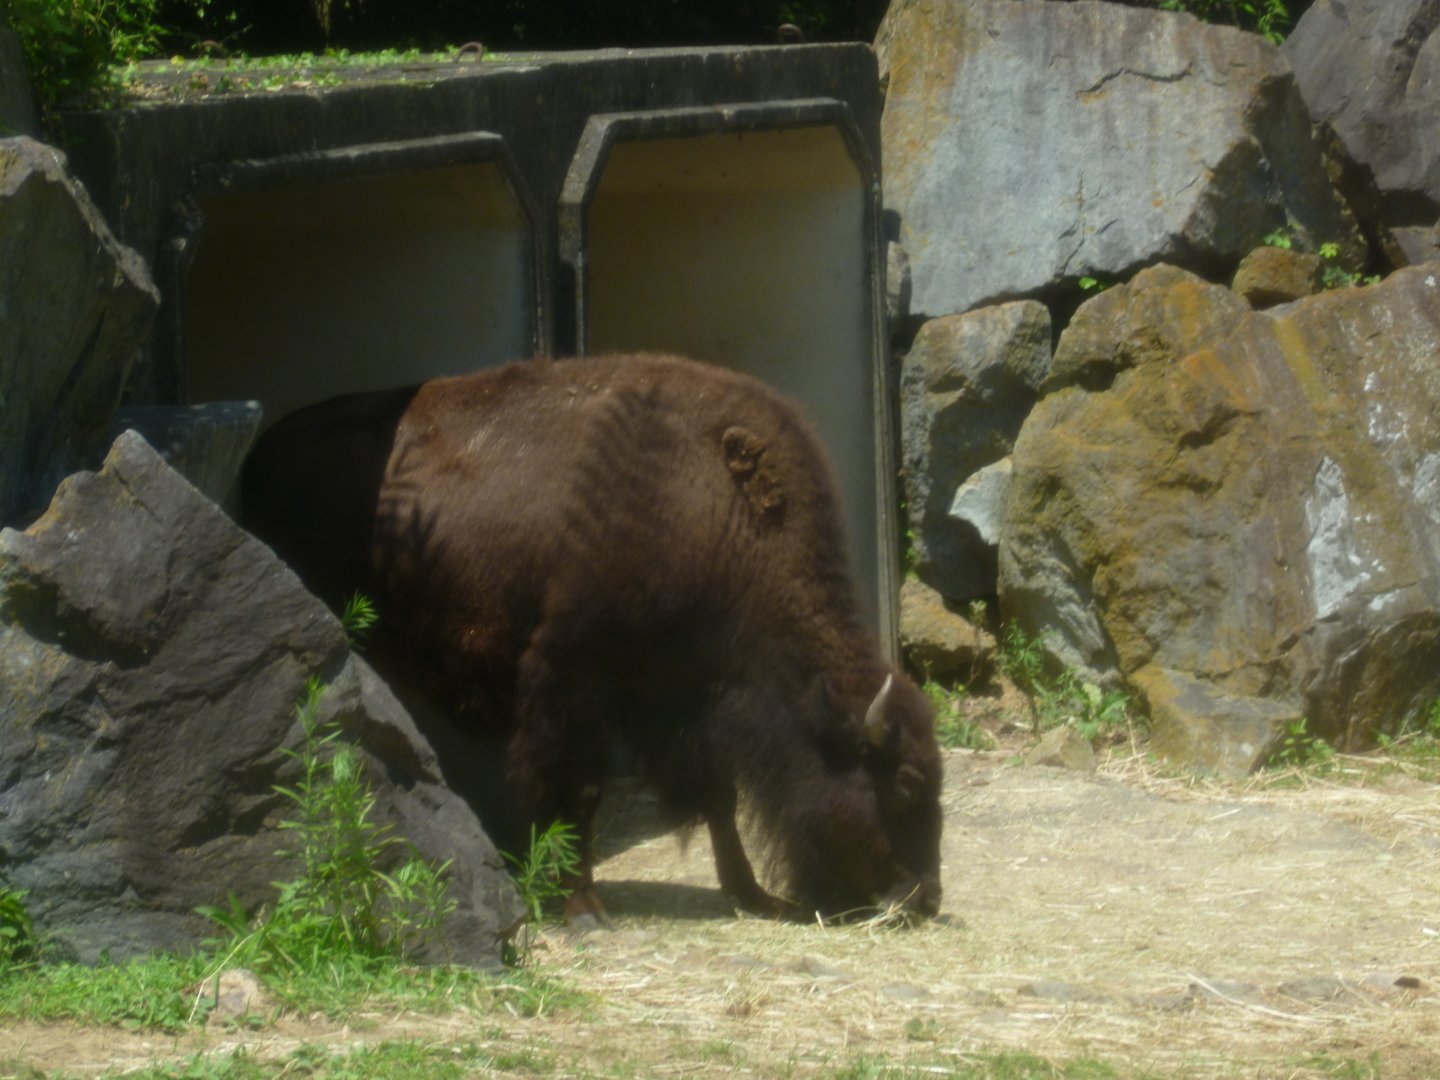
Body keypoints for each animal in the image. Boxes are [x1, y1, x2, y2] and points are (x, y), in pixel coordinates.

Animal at [241, 353, 942, 922]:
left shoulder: (683, 698)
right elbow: (580, 792)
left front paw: (753, 895)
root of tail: (261, 456)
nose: (925, 899)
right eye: (905, 784)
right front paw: (580, 907)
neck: (716, 510)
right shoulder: (577, 683)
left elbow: (719, 797)